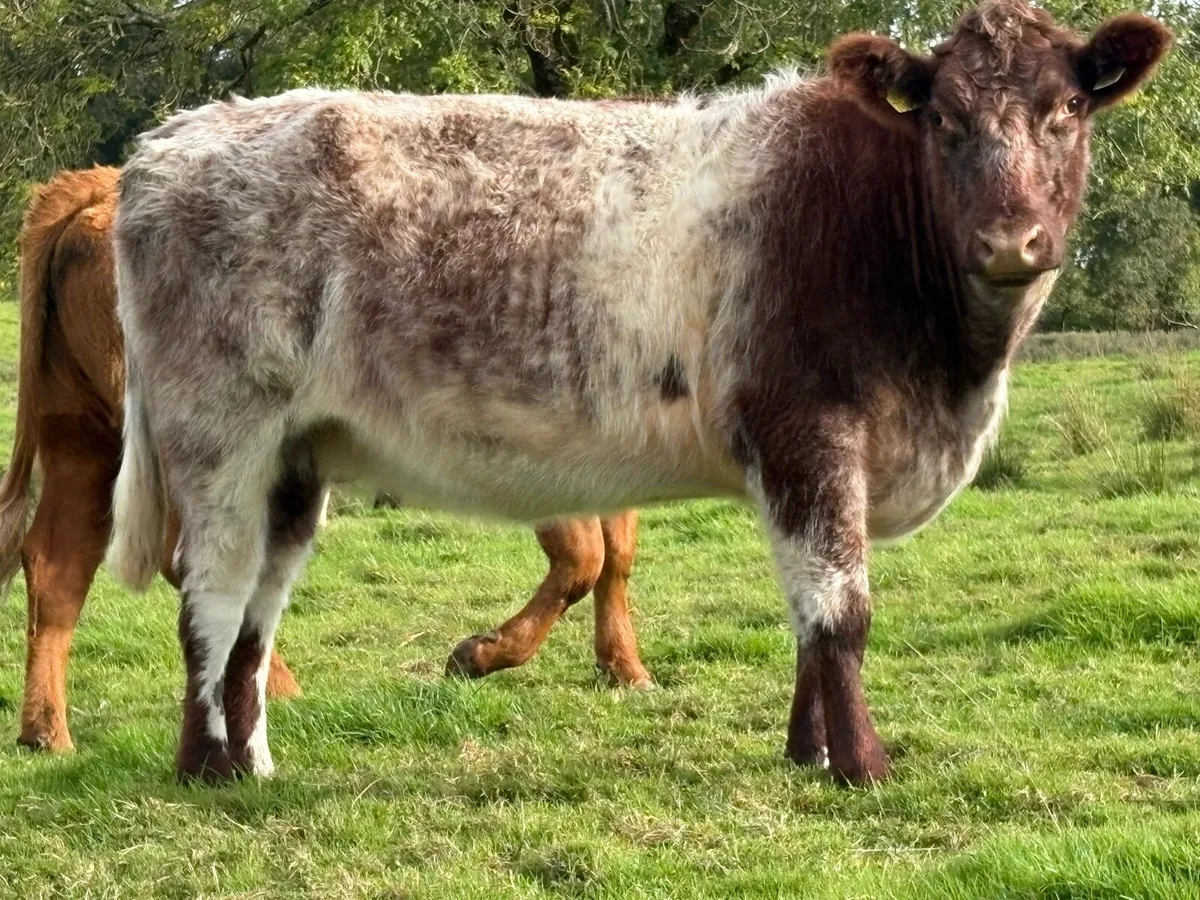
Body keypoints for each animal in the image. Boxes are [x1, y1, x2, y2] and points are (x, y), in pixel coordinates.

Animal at [0, 168, 648, 752]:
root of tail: (91, 186)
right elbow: (583, 556)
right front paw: (479, 654)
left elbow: (616, 555)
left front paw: (623, 669)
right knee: (187, 558)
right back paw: (269, 687)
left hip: (82, 438)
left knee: (58, 562)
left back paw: (47, 732)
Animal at [106, 0, 1171, 785]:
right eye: (944, 120)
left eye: (1066, 112)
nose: (1010, 240)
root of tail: (174, 139)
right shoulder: (808, 429)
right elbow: (839, 611)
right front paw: (862, 765)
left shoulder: (811, 461)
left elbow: (804, 614)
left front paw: (809, 753)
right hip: (219, 432)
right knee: (212, 593)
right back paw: (205, 768)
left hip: (296, 455)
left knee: (258, 608)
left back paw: (254, 764)